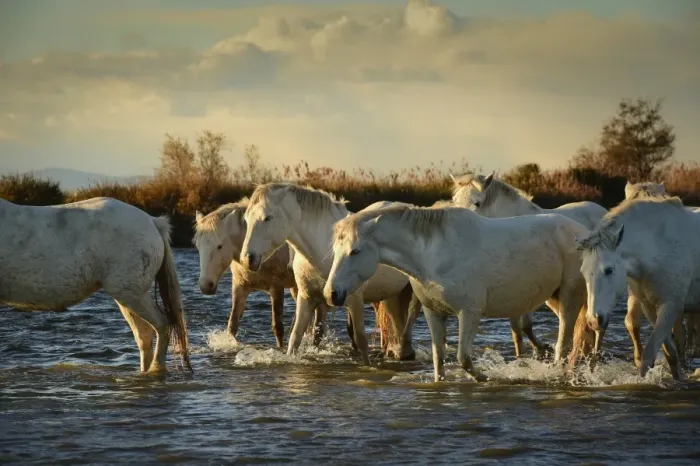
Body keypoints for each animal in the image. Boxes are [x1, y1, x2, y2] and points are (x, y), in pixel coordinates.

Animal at [0, 197, 191, 374]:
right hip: (129, 296)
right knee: (144, 336)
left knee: (162, 324)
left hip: (132, 294)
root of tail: (152, 221)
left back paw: (155, 368)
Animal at [194, 198, 332, 348]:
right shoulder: (240, 287)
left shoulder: (276, 288)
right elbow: (233, 324)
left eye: (219, 246)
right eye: (198, 246)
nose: (205, 286)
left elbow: (277, 326)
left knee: (319, 320)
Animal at [239, 182, 420, 365]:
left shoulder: (354, 299)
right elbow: (296, 337)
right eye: (246, 220)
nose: (247, 259)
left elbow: (361, 340)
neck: (322, 250)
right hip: (391, 294)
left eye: (267, 218)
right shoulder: (306, 298)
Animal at [325, 204, 589, 382]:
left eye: (355, 251)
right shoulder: (433, 313)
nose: (331, 294)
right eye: (335, 251)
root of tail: (582, 232)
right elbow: (438, 357)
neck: (432, 254)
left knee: (563, 344)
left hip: (569, 298)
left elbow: (463, 358)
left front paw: (485, 379)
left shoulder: (469, 312)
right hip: (553, 297)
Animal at [575, 196, 700, 380]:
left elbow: (648, 355)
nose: (594, 321)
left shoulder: (671, 307)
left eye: (609, 270)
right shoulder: (650, 307)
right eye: (583, 272)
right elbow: (670, 353)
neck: (658, 246)